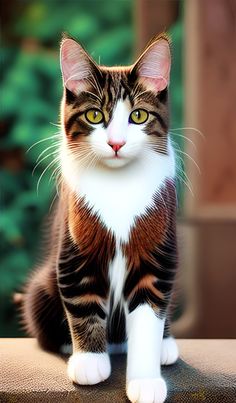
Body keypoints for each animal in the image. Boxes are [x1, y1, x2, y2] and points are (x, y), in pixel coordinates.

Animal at [22, 34, 179, 403]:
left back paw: (166, 344)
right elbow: (82, 303)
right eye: (95, 115)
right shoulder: (76, 244)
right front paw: (90, 363)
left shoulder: (158, 249)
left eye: (138, 115)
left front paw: (145, 381)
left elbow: (149, 312)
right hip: (39, 290)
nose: (116, 143)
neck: (118, 183)